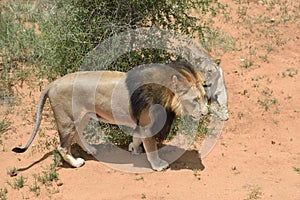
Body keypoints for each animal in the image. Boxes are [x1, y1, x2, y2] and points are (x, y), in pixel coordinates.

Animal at [12, 65, 209, 171]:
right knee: (62, 146)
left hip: (83, 116)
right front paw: (158, 165)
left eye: (205, 97)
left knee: (78, 136)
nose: (205, 113)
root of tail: (52, 83)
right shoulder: (147, 125)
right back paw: (76, 163)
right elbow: (152, 148)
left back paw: (91, 149)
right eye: (195, 100)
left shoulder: (141, 124)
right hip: (67, 120)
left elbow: (137, 138)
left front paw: (133, 149)